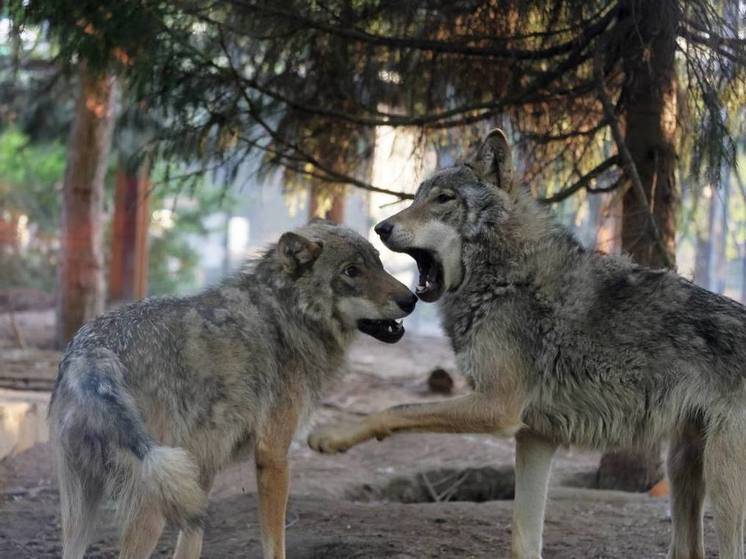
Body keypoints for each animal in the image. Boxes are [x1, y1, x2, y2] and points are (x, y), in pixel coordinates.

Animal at [49, 223, 416, 559]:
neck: (286, 315)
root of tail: (90, 352)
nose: (411, 299)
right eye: (351, 271)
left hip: (85, 511)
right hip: (150, 506)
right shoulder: (272, 455)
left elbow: (190, 546)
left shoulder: (202, 472)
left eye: (379, 263)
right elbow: (275, 545)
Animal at [306, 130, 744, 559]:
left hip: (722, 481)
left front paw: (332, 437)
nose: (381, 228)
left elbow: (396, 410)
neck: (505, 276)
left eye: (444, 199)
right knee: (689, 547)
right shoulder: (536, 436)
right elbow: (523, 539)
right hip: (682, 464)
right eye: (415, 197)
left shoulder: (497, 407)